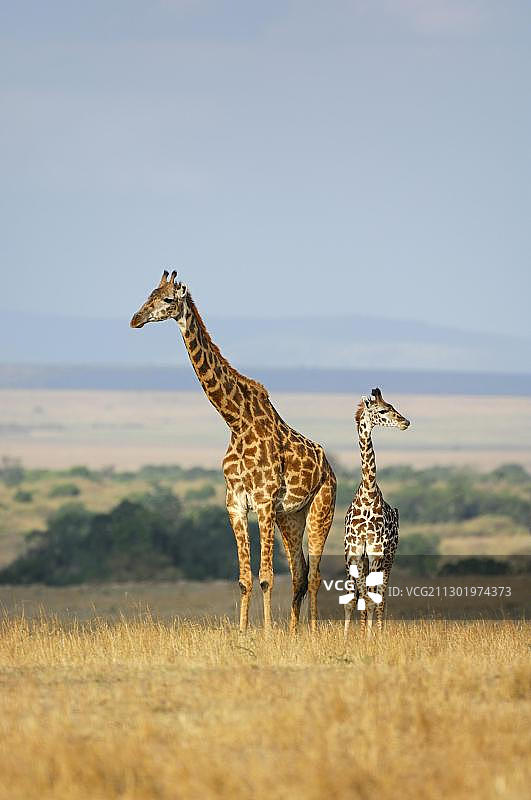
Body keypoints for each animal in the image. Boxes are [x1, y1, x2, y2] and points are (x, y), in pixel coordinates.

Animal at [129, 272, 336, 636]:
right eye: (148, 294)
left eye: (167, 299)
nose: (136, 319)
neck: (236, 421)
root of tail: (330, 468)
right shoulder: (236, 504)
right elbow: (244, 578)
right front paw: (243, 632)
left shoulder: (264, 502)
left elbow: (266, 577)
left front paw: (266, 634)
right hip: (291, 517)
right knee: (299, 573)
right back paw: (294, 630)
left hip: (320, 509)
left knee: (314, 575)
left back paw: (310, 631)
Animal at [344, 388, 412, 636]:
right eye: (383, 410)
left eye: (393, 406)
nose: (405, 422)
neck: (368, 494)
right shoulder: (354, 552)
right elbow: (355, 599)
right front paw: (349, 638)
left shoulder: (376, 551)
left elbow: (371, 599)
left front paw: (370, 637)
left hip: (389, 557)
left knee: (382, 596)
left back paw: (379, 632)